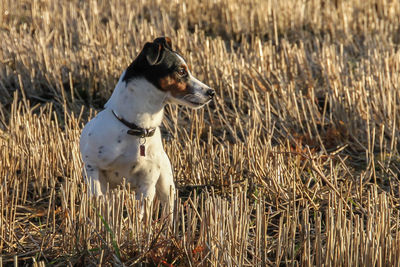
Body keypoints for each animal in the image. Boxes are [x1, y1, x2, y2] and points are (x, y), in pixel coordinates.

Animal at [79, 37, 214, 218]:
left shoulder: (147, 182)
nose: (211, 92)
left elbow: (141, 214)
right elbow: (97, 198)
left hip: (166, 184)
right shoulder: (92, 167)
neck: (136, 128)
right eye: (181, 71)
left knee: (168, 210)